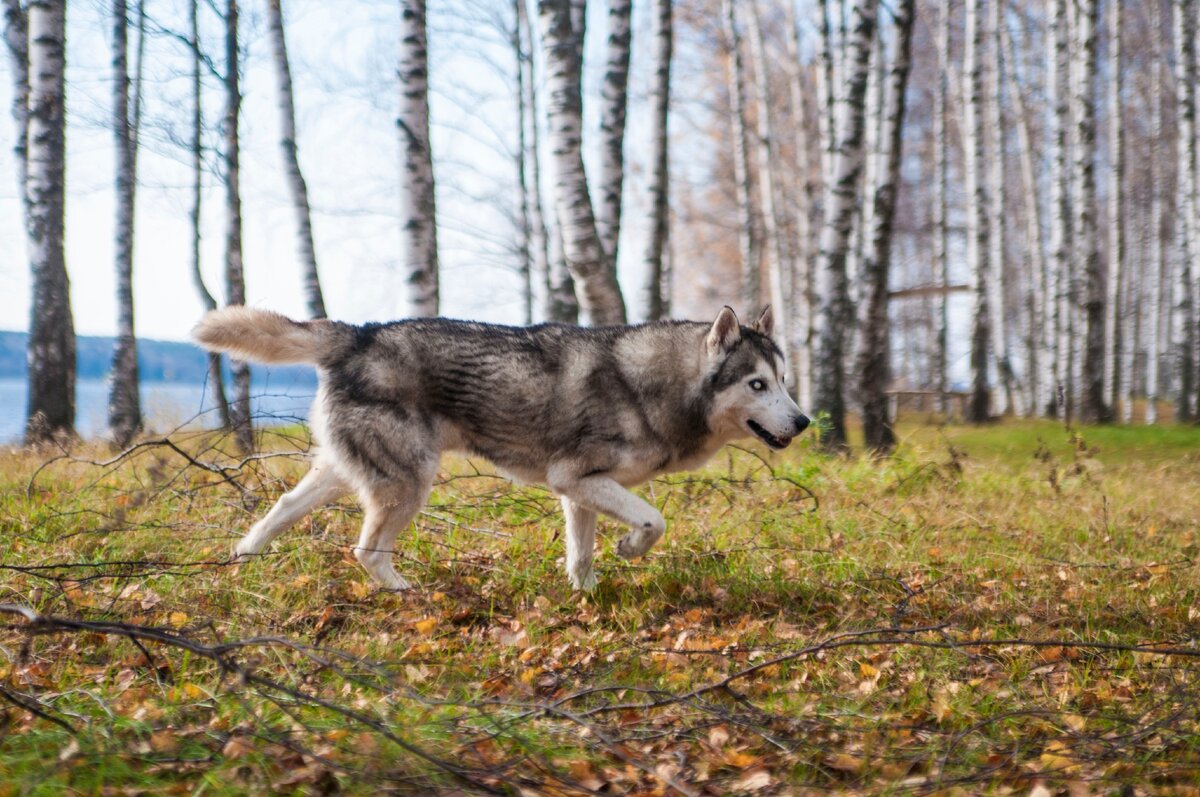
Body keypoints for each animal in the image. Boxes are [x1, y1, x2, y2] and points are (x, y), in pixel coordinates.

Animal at [194, 304, 806, 590]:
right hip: (409, 485)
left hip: (346, 476)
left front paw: (588, 599)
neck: (655, 384)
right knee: (366, 551)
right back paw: (405, 593)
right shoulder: (575, 480)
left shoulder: (578, 492)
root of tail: (360, 332)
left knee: (278, 510)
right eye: (757, 385)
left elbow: (581, 555)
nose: (802, 422)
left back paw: (241, 563)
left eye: (783, 379)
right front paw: (630, 550)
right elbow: (655, 521)